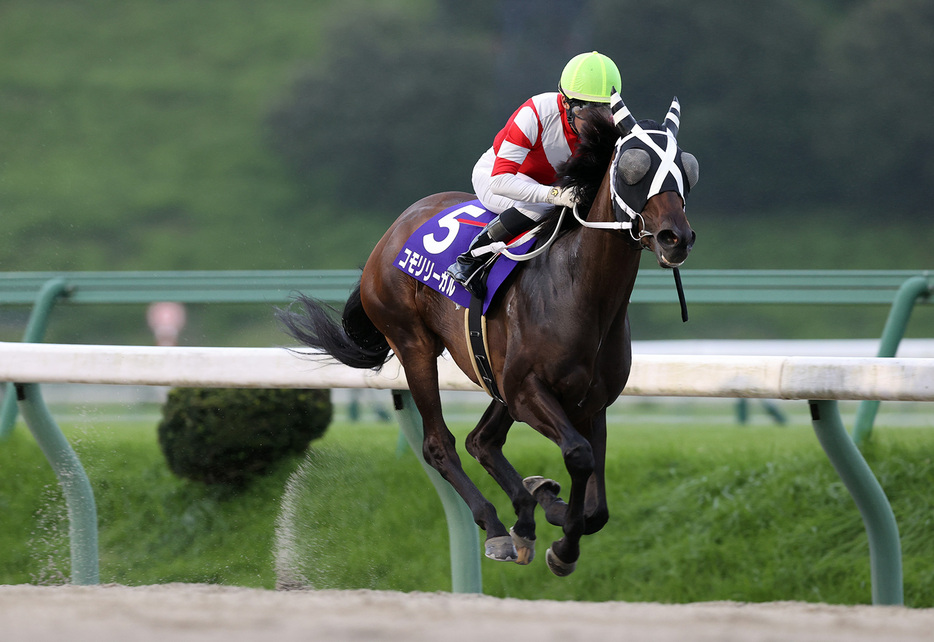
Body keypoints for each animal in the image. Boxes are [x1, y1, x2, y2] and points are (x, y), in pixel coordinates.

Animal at [282, 90, 700, 576]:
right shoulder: (528, 389)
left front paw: (555, 515)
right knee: (440, 444)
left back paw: (529, 509)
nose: (675, 237)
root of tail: (392, 232)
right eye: (633, 168)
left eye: (686, 169)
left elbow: (595, 504)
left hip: (495, 375)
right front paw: (562, 545)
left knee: (481, 440)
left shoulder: (589, 400)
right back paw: (498, 527)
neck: (579, 290)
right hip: (414, 344)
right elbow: (578, 455)